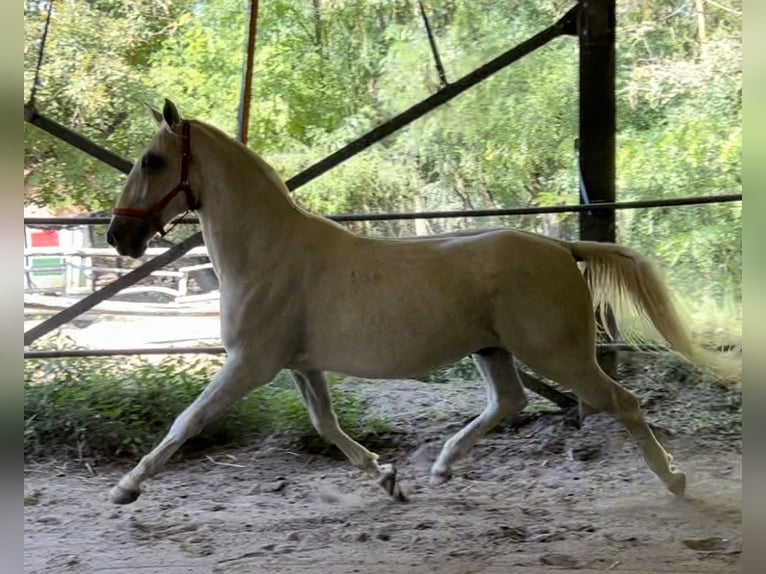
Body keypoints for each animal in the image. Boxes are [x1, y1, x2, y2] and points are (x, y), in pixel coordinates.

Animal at [106, 100, 728, 508]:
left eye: (152, 161)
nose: (118, 237)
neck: (269, 253)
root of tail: (560, 246)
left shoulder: (249, 365)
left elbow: (188, 420)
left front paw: (126, 487)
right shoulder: (301, 366)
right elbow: (326, 425)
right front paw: (387, 478)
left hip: (560, 355)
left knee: (620, 402)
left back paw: (674, 481)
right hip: (492, 350)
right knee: (510, 401)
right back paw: (443, 466)